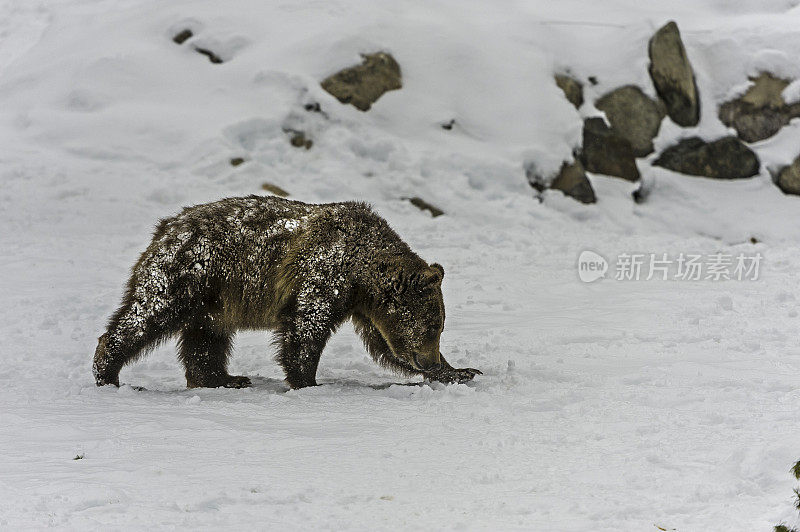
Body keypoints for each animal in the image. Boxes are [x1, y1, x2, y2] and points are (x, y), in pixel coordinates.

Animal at [94, 193, 482, 388]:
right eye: (434, 325)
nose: (429, 358)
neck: (362, 271)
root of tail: (166, 227)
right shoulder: (325, 271)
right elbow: (306, 325)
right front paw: (306, 380)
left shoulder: (364, 306)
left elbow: (384, 346)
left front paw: (462, 371)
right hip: (190, 274)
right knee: (148, 314)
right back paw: (107, 371)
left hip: (215, 298)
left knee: (206, 338)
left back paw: (225, 378)